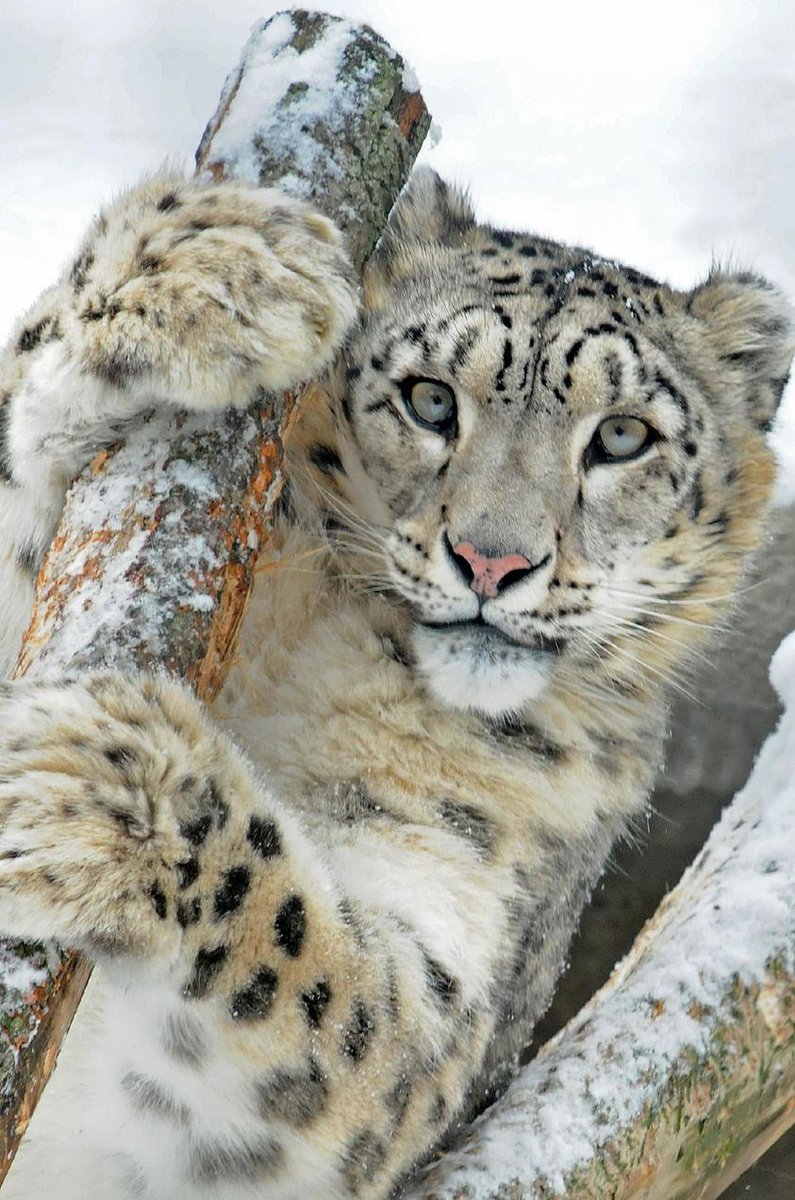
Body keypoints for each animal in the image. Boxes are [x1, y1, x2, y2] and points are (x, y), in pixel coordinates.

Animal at [0, 171, 792, 1200]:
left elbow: (322, 975)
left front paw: (108, 793)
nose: (493, 560)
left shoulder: (442, 975)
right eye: (428, 399)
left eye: (622, 436)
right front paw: (211, 264)